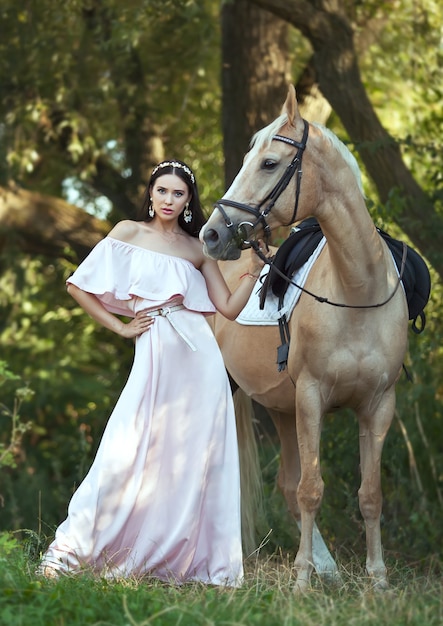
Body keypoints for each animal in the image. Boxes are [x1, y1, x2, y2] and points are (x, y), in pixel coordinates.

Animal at [200, 86, 410, 588]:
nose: (211, 233)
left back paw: (328, 568)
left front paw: (378, 579)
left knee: (287, 484)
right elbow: (312, 489)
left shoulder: (378, 405)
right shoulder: (312, 398)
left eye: (269, 163)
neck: (356, 293)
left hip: (281, 409)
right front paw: (300, 580)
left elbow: (369, 493)